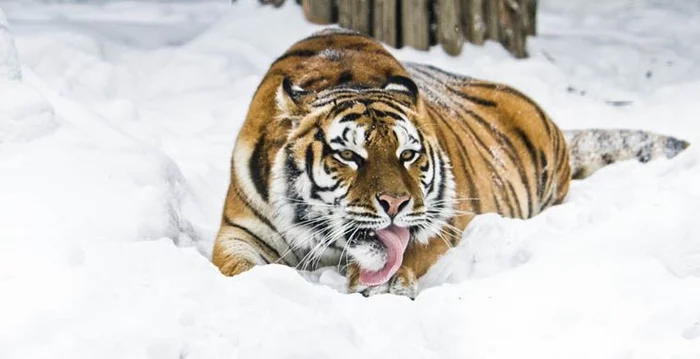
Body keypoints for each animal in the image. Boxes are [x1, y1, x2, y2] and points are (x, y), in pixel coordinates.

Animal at [212, 27, 688, 298]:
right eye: (348, 155)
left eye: (407, 155)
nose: (395, 204)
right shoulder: (240, 231)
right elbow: (235, 269)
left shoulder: (443, 221)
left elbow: (413, 251)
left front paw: (387, 284)